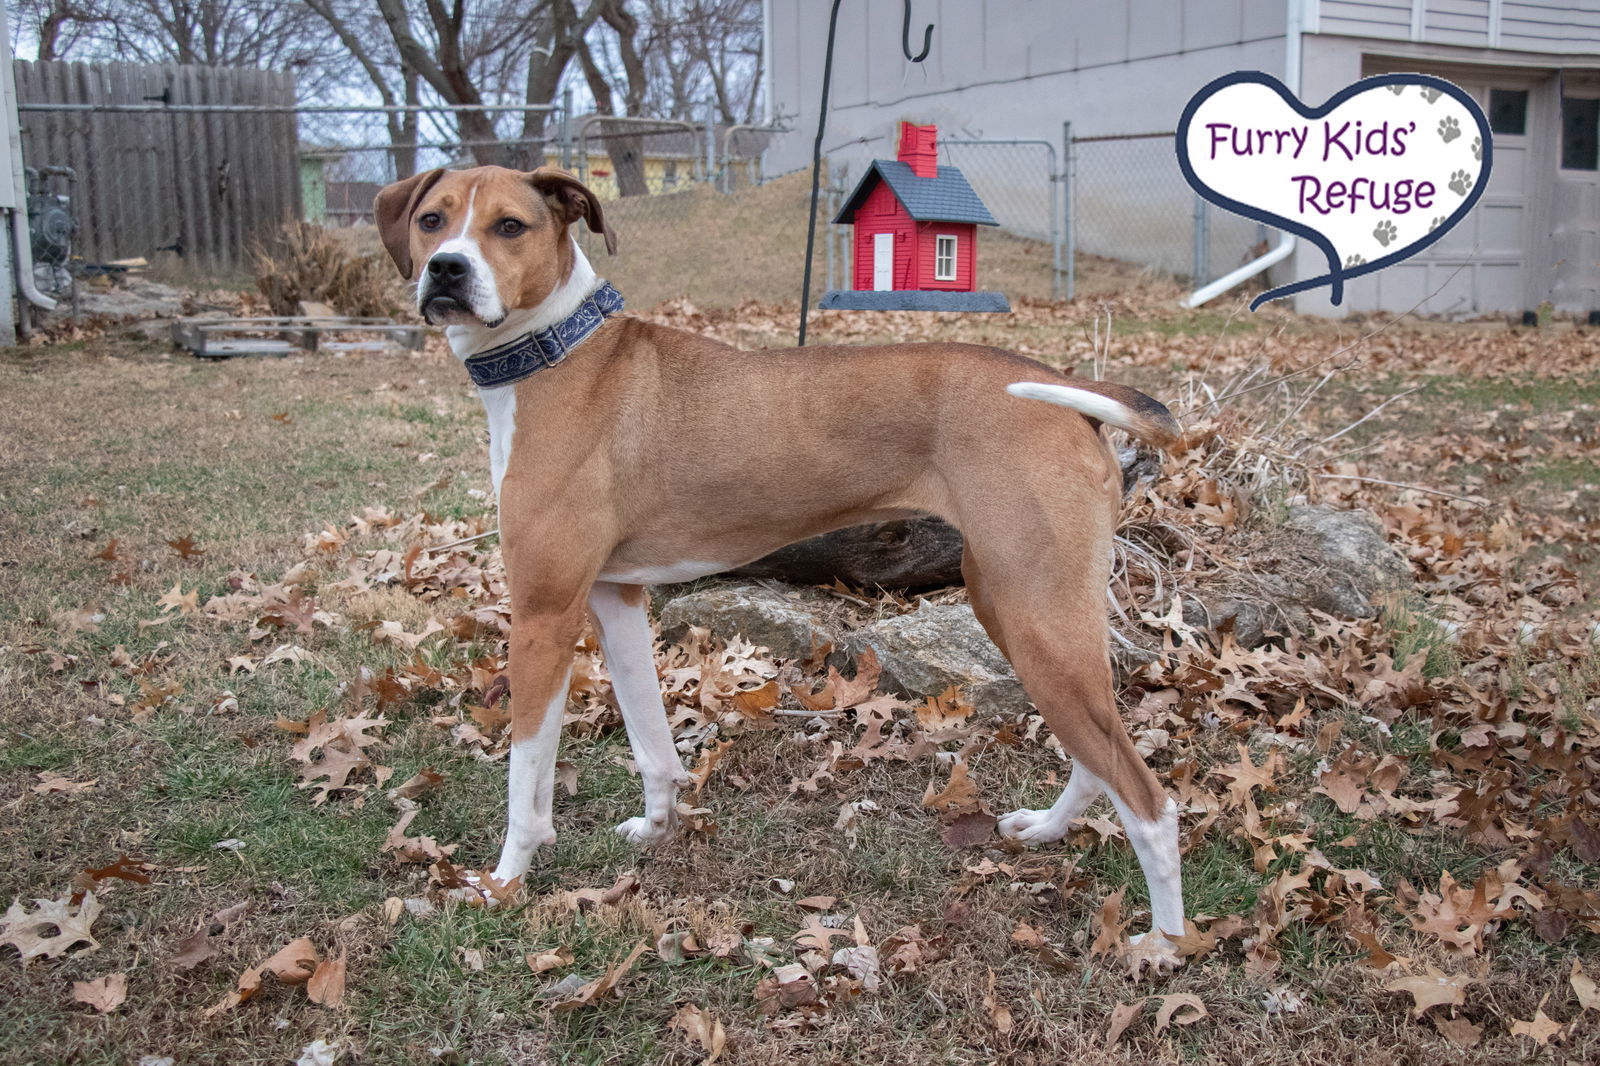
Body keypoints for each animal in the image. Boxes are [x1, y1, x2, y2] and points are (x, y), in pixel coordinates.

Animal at [377, 164, 1190, 953]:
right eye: (432, 220)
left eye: (510, 226)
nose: (447, 269)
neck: (560, 352)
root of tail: (1072, 393)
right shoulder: (613, 599)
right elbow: (651, 741)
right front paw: (659, 826)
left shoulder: (544, 615)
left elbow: (525, 779)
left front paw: (503, 882)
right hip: (1023, 614)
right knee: (1099, 758)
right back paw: (1049, 830)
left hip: (1037, 623)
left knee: (1151, 802)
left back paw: (1164, 944)